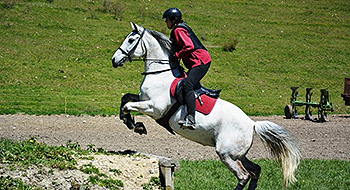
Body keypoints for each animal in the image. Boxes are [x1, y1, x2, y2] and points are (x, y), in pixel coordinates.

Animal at [111, 21, 300, 189]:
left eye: (130, 40)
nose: (114, 60)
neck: (160, 73)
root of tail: (252, 123)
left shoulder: (155, 108)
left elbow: (128, 105)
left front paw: (136, 125)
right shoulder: (143, 98)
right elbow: (125, 99)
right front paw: (130, 122)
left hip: (226, 154)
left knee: (243, 176)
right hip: (238, 154)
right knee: (256, 170)